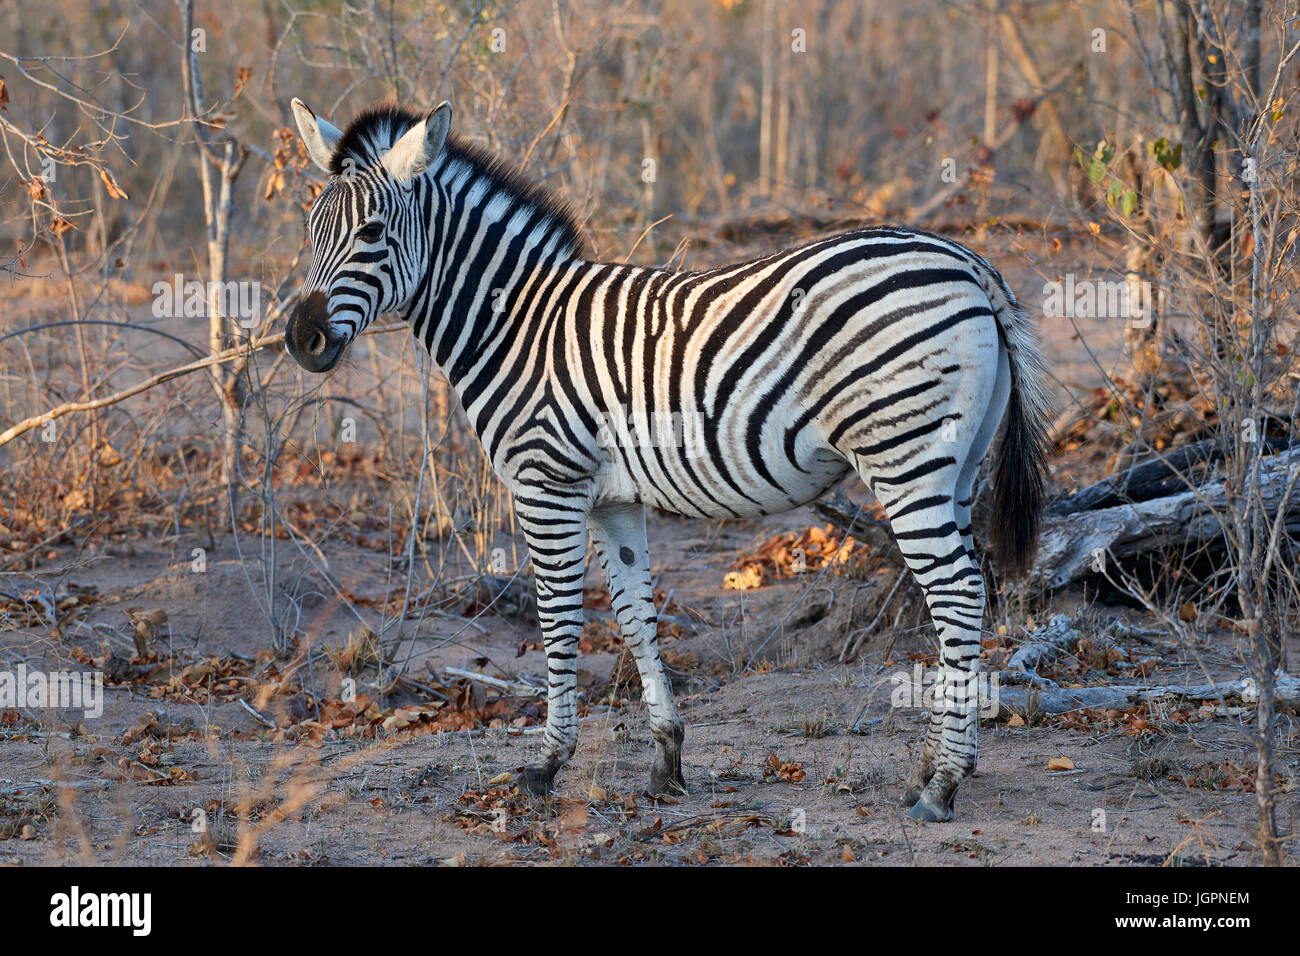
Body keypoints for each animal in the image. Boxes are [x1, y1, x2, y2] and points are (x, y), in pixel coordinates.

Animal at [287, 100, 1055, 827]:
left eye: (371, 234)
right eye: (311, 230)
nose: (302, 339)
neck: (514, 325)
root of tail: (967, 262)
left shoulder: (547, 484)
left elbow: (558, 621)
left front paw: (546, 766)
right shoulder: (612, 500)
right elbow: (635, 618)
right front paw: (667, 761)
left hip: (906, 458)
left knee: (957, 592)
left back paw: (944, 784)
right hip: (955, 466)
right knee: (969, 589)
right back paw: (936, 764)